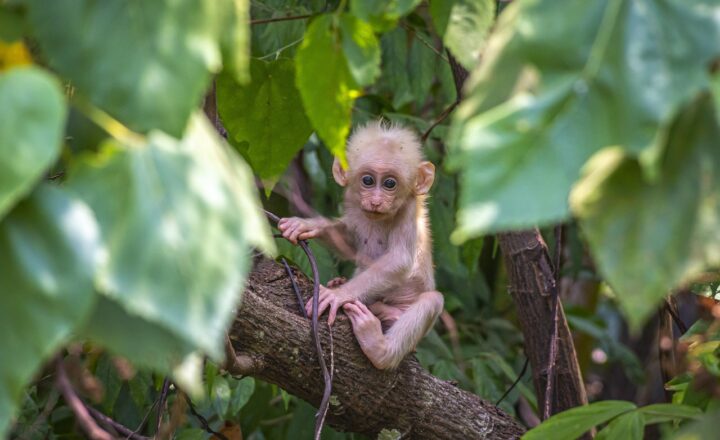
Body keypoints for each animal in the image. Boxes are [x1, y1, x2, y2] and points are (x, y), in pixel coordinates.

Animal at [278, 121, 443, 370]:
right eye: (368, 181)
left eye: (390, 183)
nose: (375, 201)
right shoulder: (354, 204)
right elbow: (349, 241)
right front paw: (307, 225)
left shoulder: (409, 210)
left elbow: (400, 259)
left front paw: (338, 295)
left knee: (432, 300)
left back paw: (379, 348)